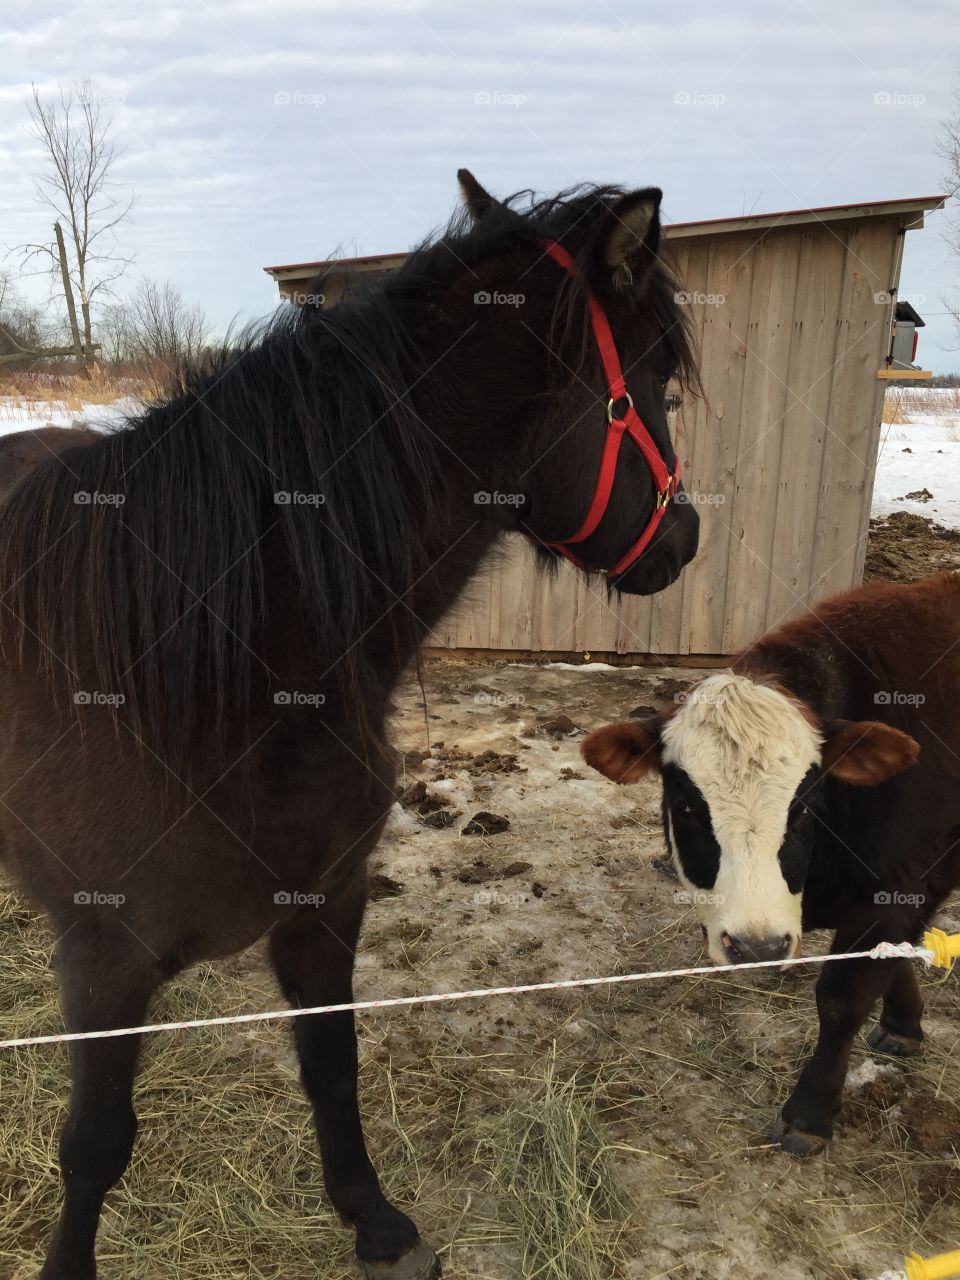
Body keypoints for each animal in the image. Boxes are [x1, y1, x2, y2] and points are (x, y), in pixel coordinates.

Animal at [0, 172, 701, 1280]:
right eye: (657, 378)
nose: (685, 538)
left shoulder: (326, 904)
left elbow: (332, 1063)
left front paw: (373, 1219)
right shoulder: (103, 960)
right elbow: (94, 1142)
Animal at [578, 576, 960, 1157]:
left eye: (803, 807)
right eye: (686, 806)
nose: (756, 947)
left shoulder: (899, 888)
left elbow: (843, 997)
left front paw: (808, 1114)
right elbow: (892, 960)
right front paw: (904, 1024)